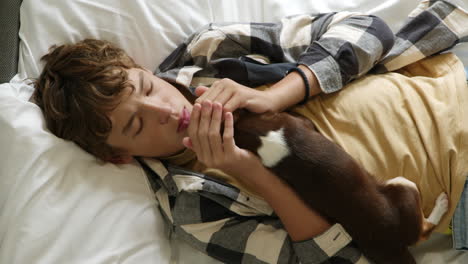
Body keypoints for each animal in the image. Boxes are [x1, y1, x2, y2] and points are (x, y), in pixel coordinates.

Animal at [234, 111, 450, 264]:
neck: (260, 137)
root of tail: (393, 243)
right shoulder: (299, 122)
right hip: (403, 184)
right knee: (425, 229)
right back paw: (442, 204)